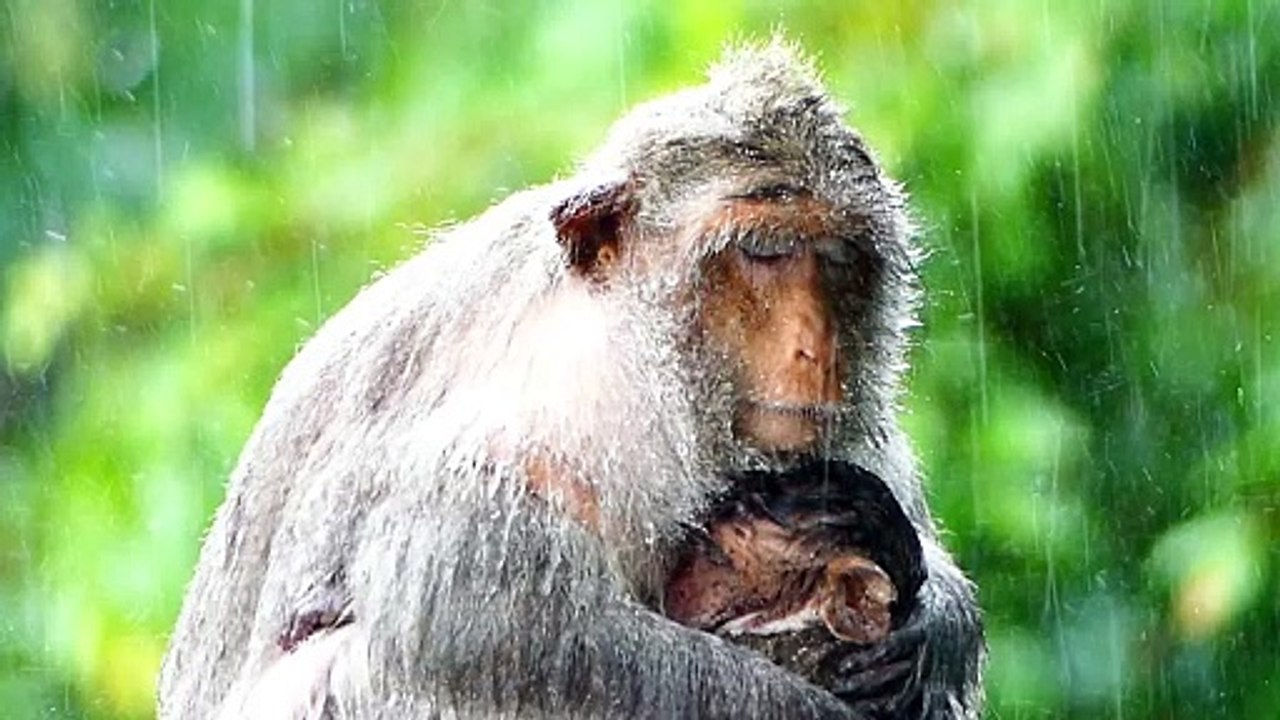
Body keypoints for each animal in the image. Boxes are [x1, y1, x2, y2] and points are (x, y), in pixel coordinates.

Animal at [158, 40, 984, 720]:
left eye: (840, 260)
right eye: (763, 253)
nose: (815, 349)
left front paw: (931, 629)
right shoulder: (544, 420)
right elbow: (480, 626)